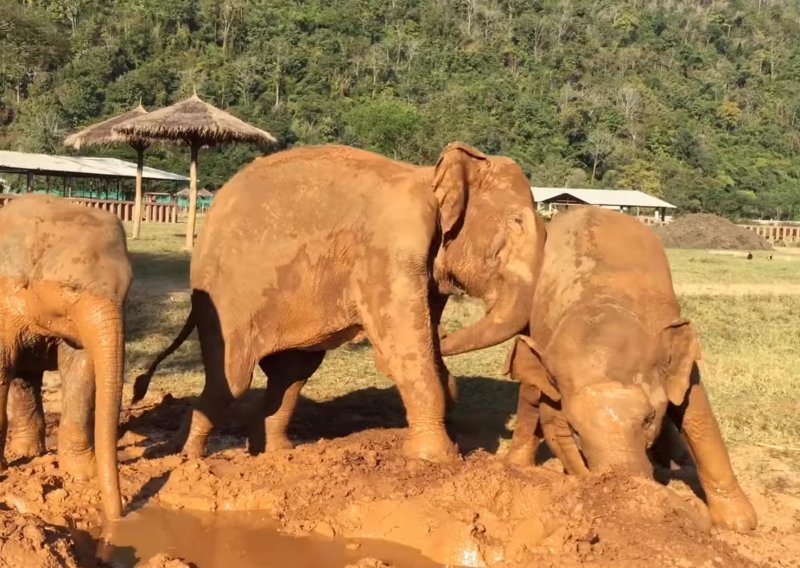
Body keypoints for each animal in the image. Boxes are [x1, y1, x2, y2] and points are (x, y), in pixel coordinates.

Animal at [0, 194, 131, 520]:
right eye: (72, 288)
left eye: (128, 289)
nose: (118, 518)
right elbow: (1, 364)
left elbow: (80, 369)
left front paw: (81, 475)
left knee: (26, 378)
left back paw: (28, 452)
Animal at [134, 142, 548, 462]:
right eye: (516, 222)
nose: (445, 338)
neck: (430, 178)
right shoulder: (388, 251)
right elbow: (407, 349)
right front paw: (438, 461)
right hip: (224, 299)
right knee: (231, 381)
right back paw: (188, 461)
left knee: (291, 375)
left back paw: (275, 455)